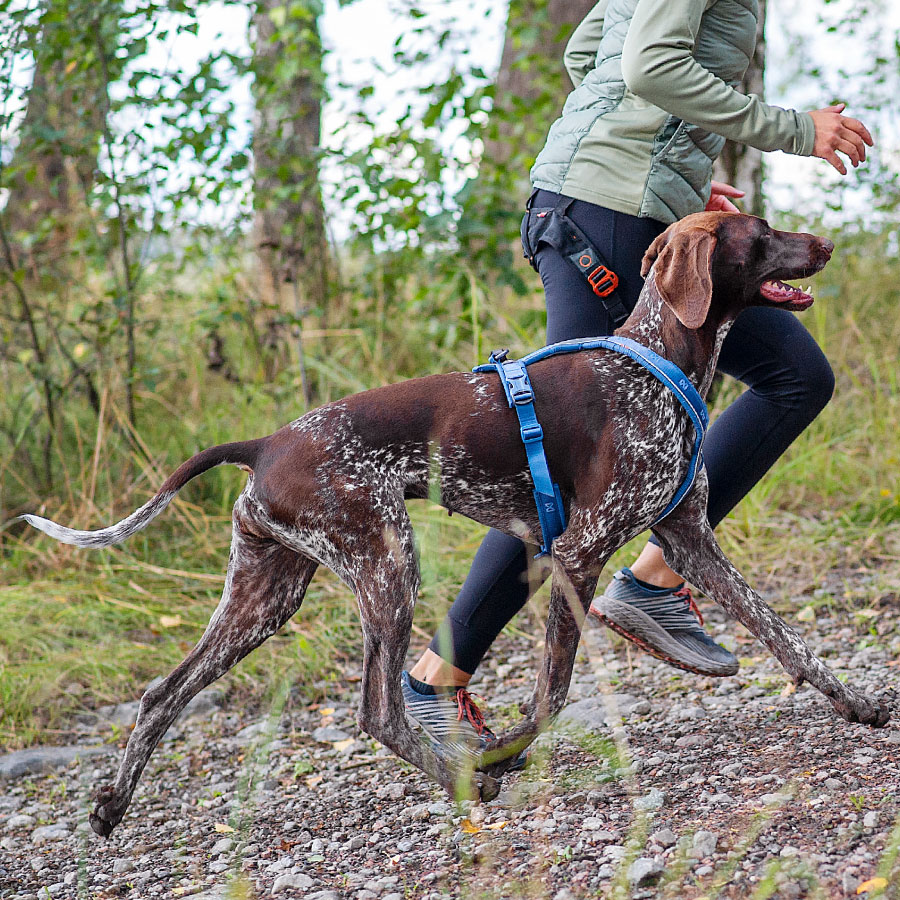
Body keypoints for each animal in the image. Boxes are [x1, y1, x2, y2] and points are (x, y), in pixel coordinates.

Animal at [24, 213, 888, 836]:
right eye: (761, 233)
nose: (827, 242)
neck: (655, 358)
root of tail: (266, 443)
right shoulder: (576, 554)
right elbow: (552, 695)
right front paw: (503, 756)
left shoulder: (690, 538)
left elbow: (785, 636)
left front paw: (856, 704)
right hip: (387, 565)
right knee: (377, 710)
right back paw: (460, 784)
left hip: (265, 596)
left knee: (159, 696)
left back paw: (110, 806)